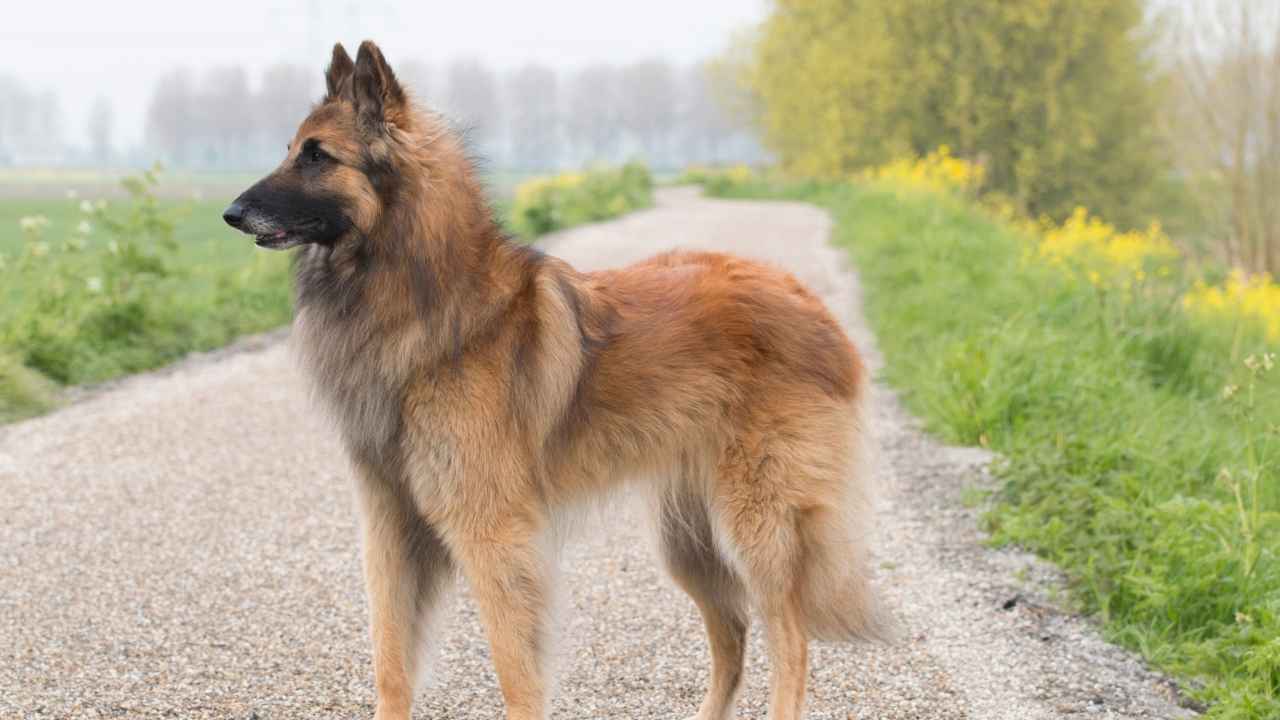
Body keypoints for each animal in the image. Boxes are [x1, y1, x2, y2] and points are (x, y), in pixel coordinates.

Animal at [225, 41, 885, 717]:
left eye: (317, 155)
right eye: (290, 148)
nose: (230, 213)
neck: (423, 298)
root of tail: (810, 300)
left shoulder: (491, 532)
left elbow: (515, 672)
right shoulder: (389, 524)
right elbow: (390, 662)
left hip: (755, 525)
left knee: (790, 638)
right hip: (688, 540)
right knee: (733, 634)